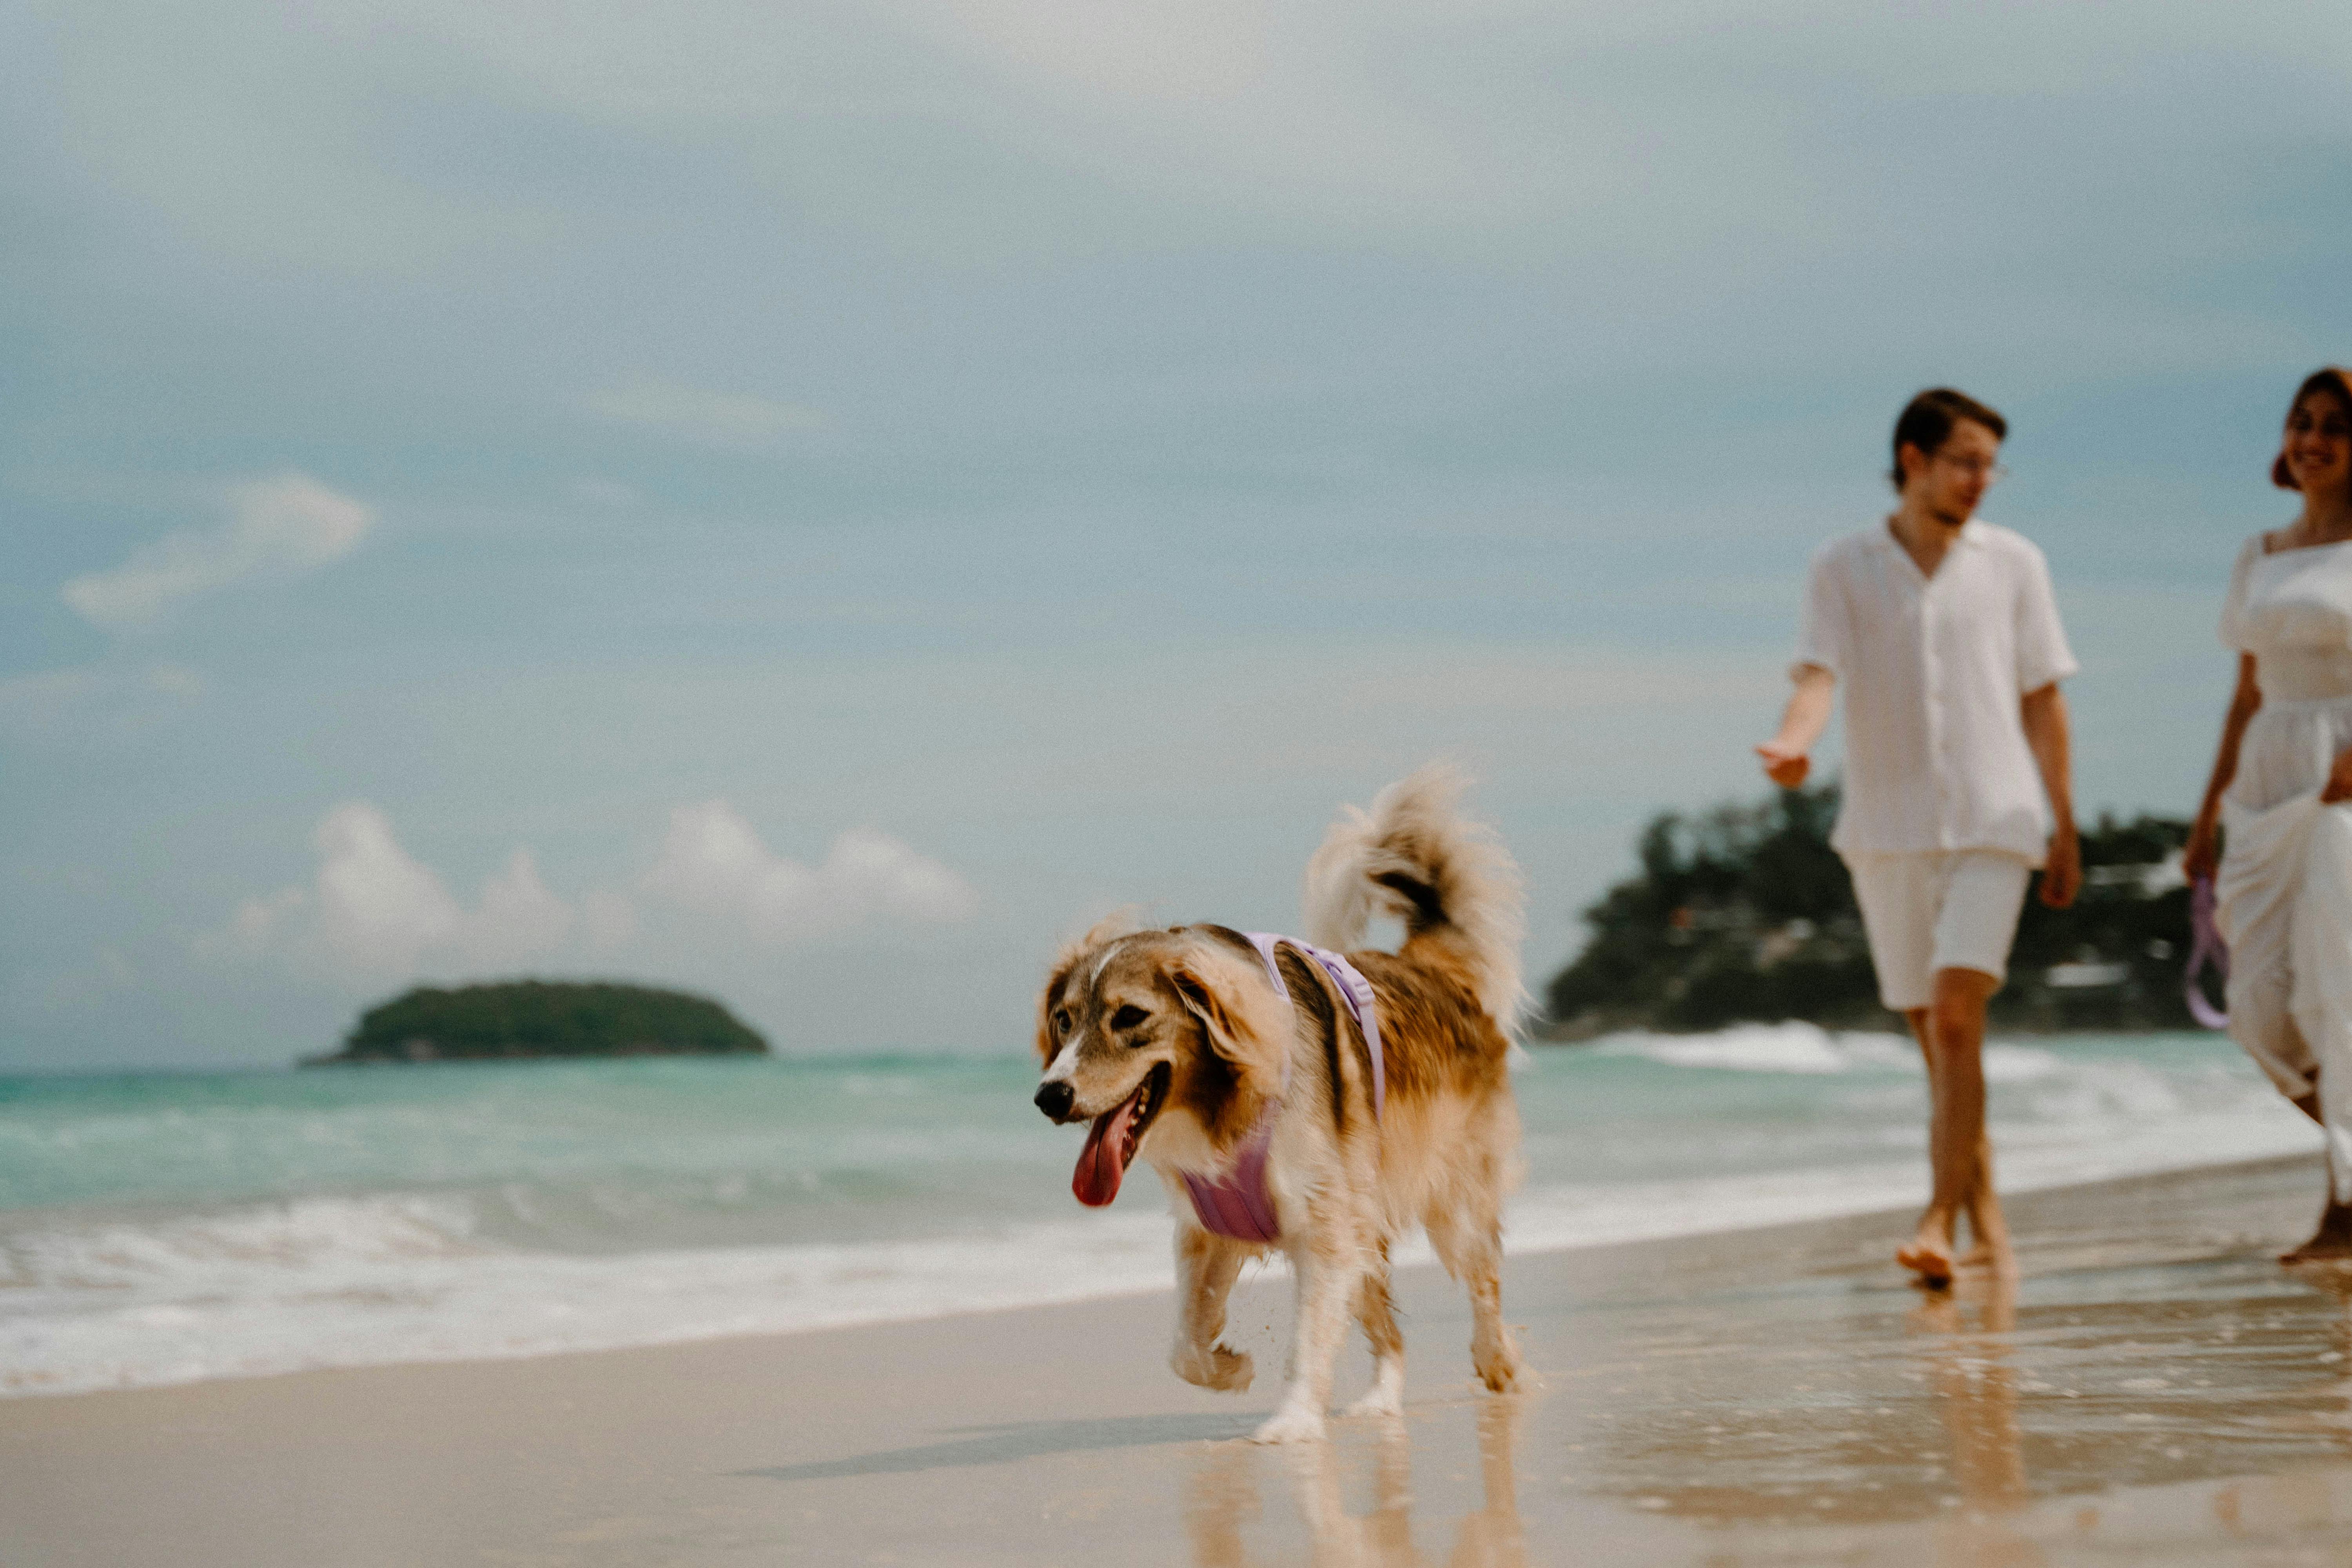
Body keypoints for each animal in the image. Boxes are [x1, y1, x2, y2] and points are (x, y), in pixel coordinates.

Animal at [1030, 766, 1524, 1439]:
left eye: (1129, 1017)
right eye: (1063, 1019)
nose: (1049, 1096)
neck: (1224, 1102)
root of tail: (1434, 971)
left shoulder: (1323, 1229)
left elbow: (1308, 1339)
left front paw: (1291, 1424)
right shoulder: (1209, 1228)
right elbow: (1184, 1347)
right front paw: (1229, 1367)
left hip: (1451, 1203)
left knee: (1484, 1285)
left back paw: (1499, 1364)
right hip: (1365, 1215)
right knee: (1392, 1333)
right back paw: (1381, 1401)